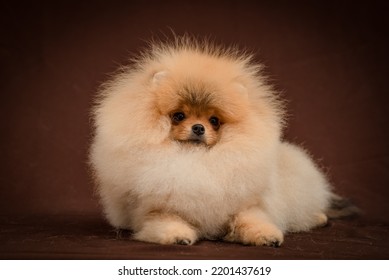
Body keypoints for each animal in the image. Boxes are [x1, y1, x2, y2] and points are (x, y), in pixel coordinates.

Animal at [89, 36, 354, 246]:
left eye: (214, 120)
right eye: (179, 116)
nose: (198, 128)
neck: (195, 159)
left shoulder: (246, 204)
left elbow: (252, 218)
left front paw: (267, 235)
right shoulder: (153, 209)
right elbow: (165, 221)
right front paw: (178, 235)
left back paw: (320, 217)